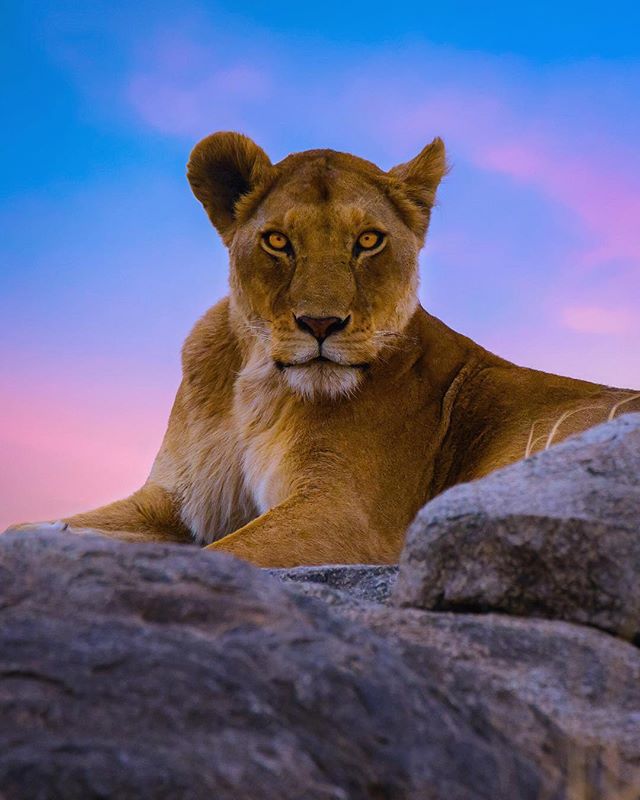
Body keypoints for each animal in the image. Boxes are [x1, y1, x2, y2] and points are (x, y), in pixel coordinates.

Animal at [7, 132, 639, 566]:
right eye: (277, 241)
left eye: (369, 240)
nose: (320, 323)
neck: (255, 385)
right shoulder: (176, 502)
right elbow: (27, 529)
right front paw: (52, 534)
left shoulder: (345, 516)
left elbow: (225, 556)